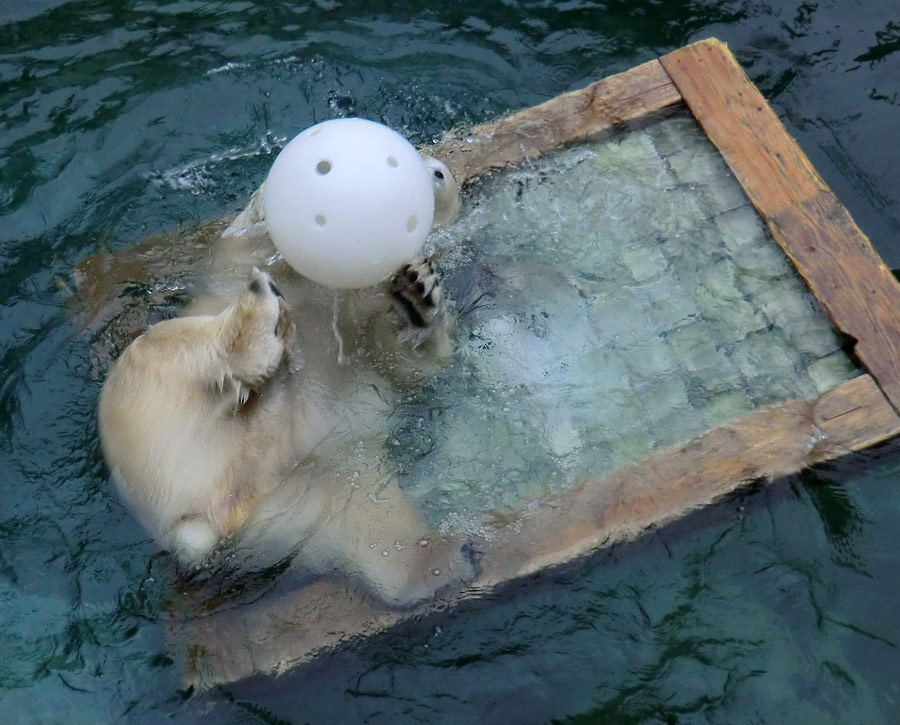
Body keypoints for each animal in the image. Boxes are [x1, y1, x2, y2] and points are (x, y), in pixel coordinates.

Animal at [98, 157, 474, 604]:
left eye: (441, 175)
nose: (433, 173)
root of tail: (201, 524)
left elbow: (400, 368)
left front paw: (420, 294)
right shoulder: (241, 253)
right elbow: (256, 235)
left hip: (312, 497)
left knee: (375, 525)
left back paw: (442, 558)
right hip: (155, 421)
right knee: (159, 346)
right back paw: (261, 313)